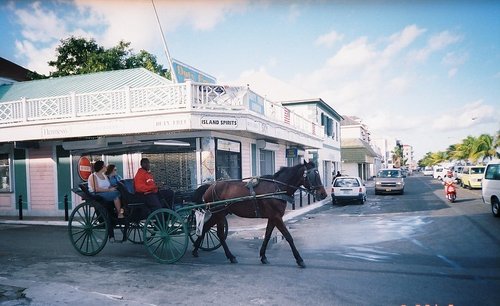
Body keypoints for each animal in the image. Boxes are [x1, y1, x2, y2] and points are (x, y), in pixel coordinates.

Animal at [191, 160, 328, 268]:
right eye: (312, 175)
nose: (323, 194)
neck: (277, 188)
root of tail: (210, 186)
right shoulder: (277, 217)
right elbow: (288, 236)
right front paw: (299, 259)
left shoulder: (272, 217)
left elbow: (267, 235)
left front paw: (263, 256)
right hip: (218, 213)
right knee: (215, 232)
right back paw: (228, 255)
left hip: (220, 214)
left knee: (207, 228)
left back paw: (198, 250)